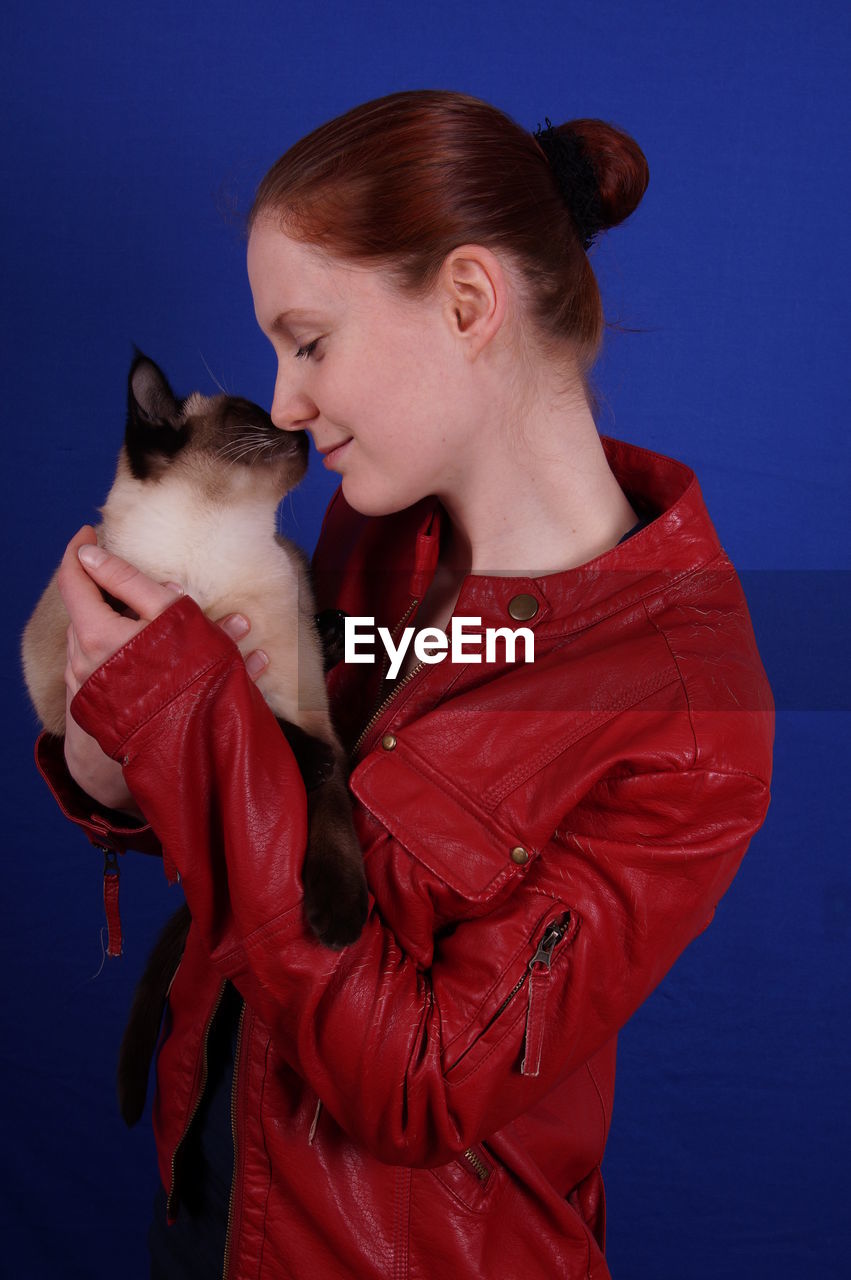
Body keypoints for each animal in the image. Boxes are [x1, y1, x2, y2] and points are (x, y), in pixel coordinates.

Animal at [23, 350, 365, 1121]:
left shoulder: (310, 711)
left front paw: (337, 917)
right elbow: (240, 697)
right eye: (253, 416)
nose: (297, 428)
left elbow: (329, 791)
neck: (218, 545)